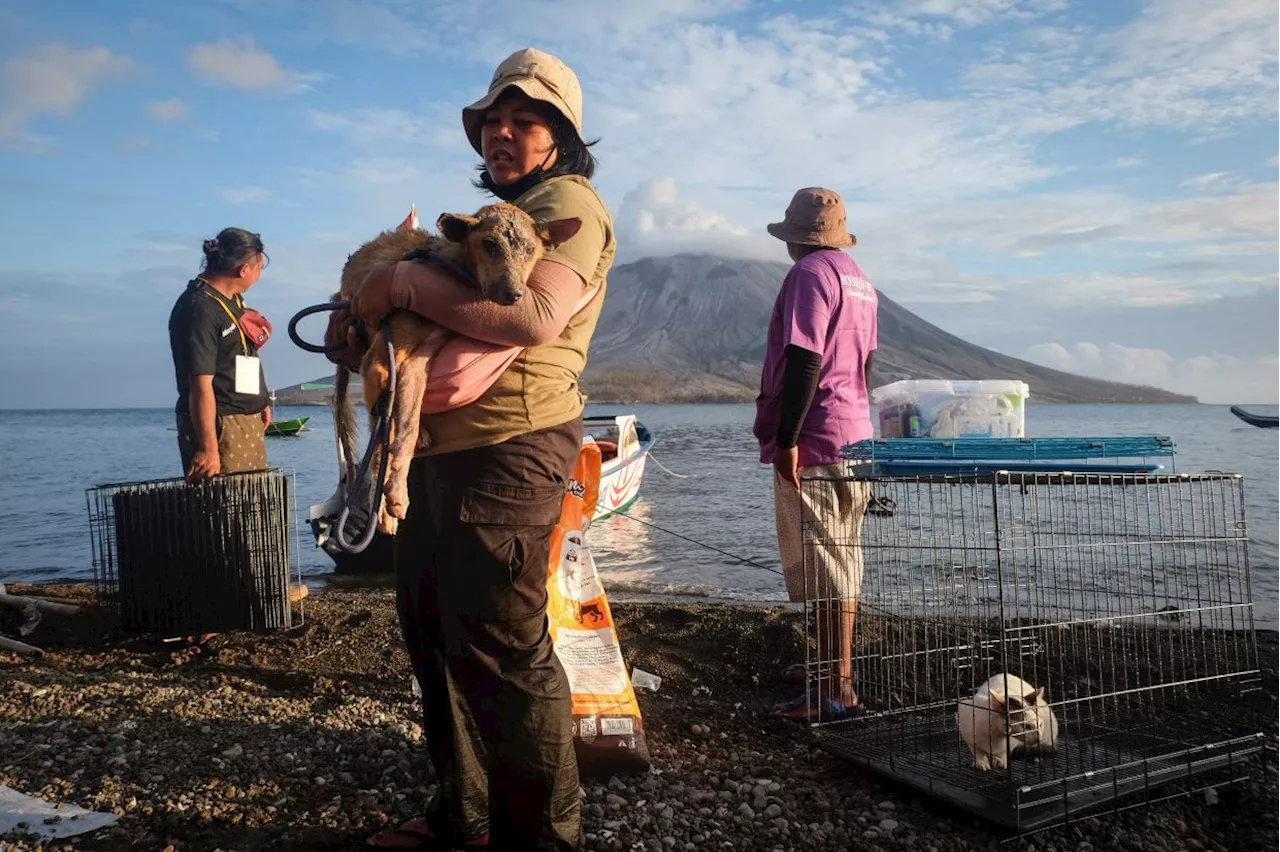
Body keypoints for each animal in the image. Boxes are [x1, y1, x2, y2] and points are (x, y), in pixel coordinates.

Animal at [335, 202, 586, 534]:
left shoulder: (420, 360)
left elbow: (407, 427)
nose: (514, 294)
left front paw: (397, 493)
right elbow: (382, 441)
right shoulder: (379, 361)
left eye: (531, 250)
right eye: (489, 244)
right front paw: (387, 508)